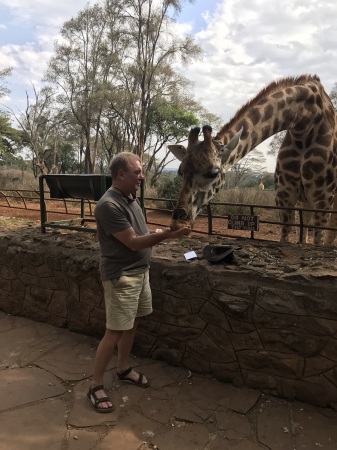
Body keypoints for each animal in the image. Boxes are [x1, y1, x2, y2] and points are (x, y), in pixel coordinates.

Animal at [167, 75, 336, 248]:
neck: (304, 123)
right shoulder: (284, 197)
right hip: (305, 201)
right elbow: (287, 237)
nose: (177, 223)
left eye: (213, 173)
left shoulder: (323, 201)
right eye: (181, 172)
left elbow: (319, 242)